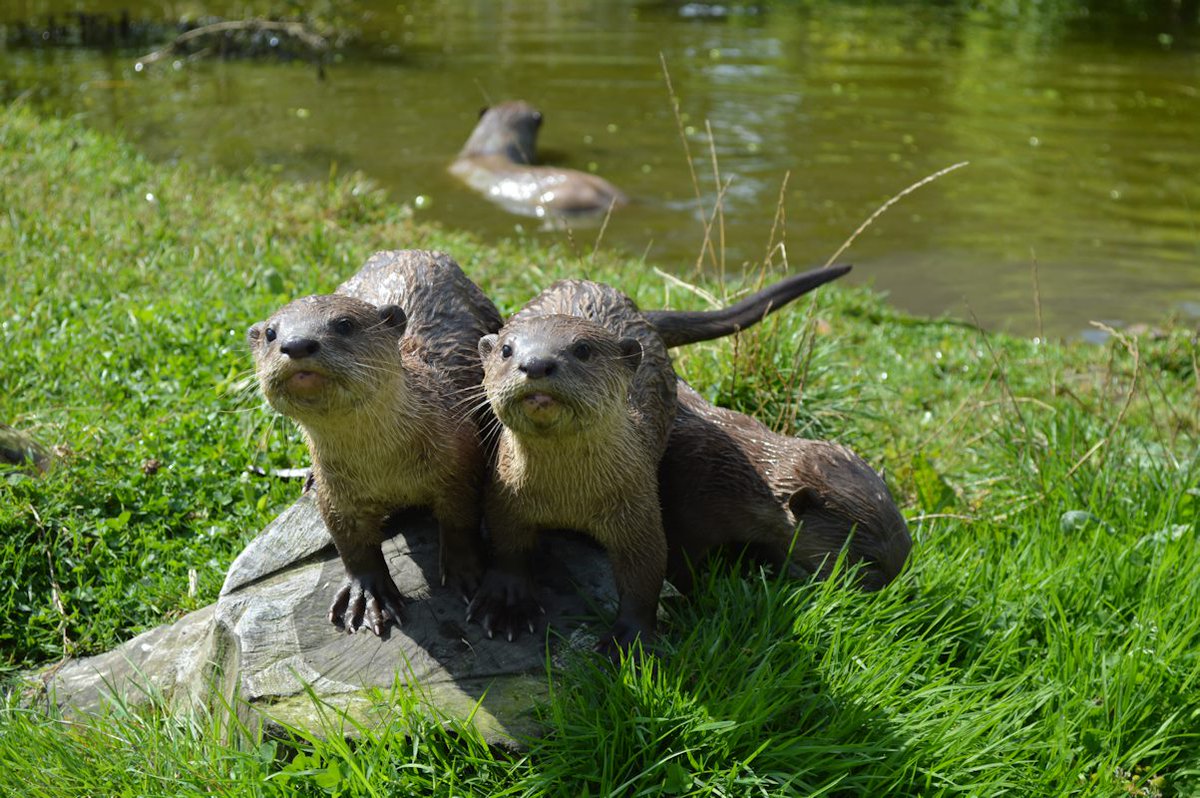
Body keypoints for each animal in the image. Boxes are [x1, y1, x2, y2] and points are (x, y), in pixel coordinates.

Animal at [247, 250, 503, 636]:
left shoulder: (461, 463)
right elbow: (351, 545)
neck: (386, 468)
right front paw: (368, 595)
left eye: (344, 324)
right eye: (271, 333)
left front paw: (467, 574)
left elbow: (461, 521)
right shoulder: (336, 493)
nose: (297, 344)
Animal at [467, 264, 851, 657]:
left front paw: (631, 637)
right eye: (507, 350)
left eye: (583, 349)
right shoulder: (504, 496)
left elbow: (646, 571)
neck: (565, 496)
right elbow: (507, 547)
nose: (536, 364)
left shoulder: (637, 505)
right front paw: (507, 603)